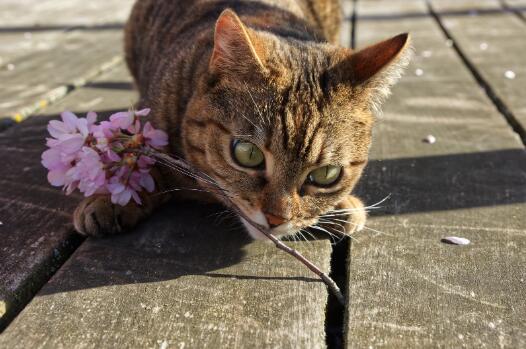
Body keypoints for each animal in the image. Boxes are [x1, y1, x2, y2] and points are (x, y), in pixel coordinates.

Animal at [73, 0, 412, 239]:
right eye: (247, 154)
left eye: (326, 174)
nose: (276, 218)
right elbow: (140, 160)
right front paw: (112, 197)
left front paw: (341, 205)